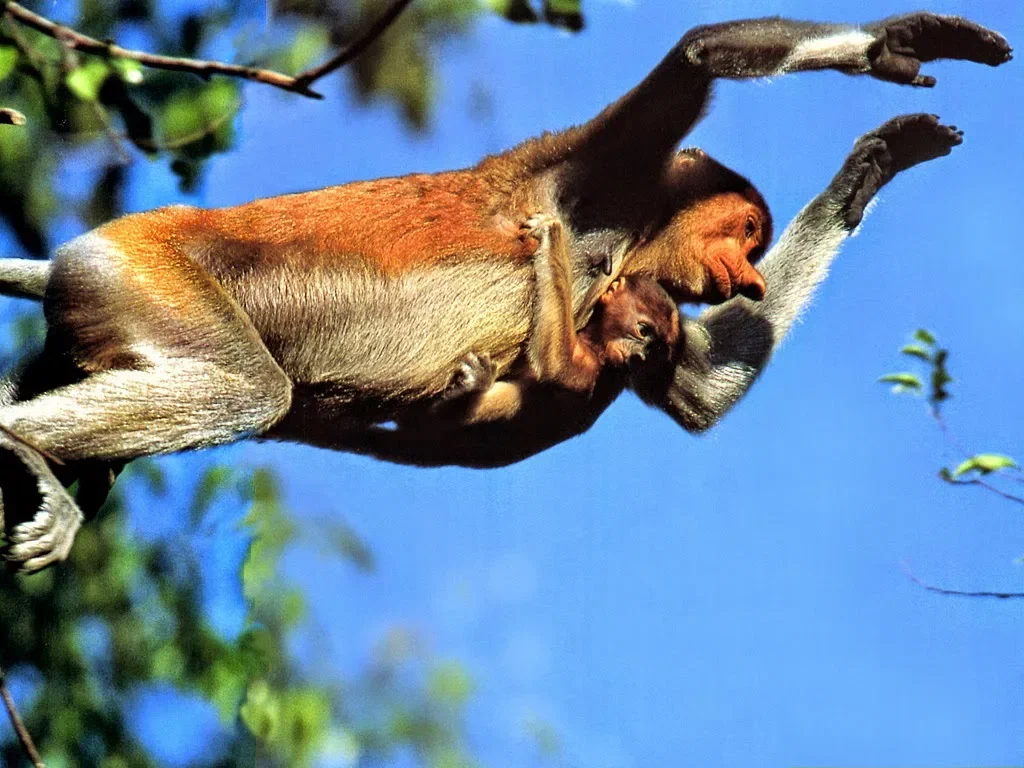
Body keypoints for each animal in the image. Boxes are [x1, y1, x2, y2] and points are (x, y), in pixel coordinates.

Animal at [434, 217, 679, 428]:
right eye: (643, 330)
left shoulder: (593, 369)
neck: (594, 339)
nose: (639, 355)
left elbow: (557, 364)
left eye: (654, 350)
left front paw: (551, 236)